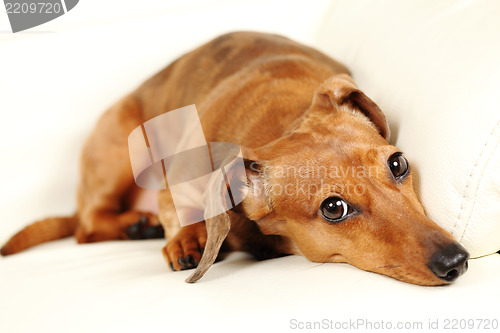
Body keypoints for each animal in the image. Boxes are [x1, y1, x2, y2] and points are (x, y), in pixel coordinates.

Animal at [0, 31, 468, 286]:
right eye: (333, 208)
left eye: (398, 164)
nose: (457, 261)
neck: (278, 123)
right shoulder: (175, 183)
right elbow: (179, 212)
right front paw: (186, 239)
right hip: (118, 151)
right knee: (86, 226)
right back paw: (137, 225)